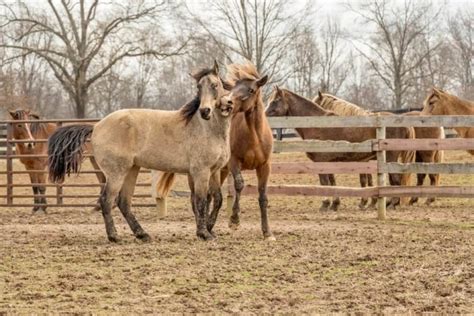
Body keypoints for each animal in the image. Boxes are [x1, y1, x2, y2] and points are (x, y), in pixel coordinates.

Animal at [48, 63, 233, 242]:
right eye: (198, 87)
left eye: (215, 85)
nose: (205, 111)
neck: (207, 129)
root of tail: (96, 126)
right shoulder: (200, 172)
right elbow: (201, 201)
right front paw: (204, 234)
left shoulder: (214, 172)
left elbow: (217, 199)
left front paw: (209, 229)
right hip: (116, 173)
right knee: (107, 201)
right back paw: (114, 236)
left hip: (131, 170)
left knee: (123, 202)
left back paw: (142, 234)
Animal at [266, 87, 414, 210]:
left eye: (275, 100)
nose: (264, 115)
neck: (316, 125)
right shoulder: (329, 162)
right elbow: (332, 182)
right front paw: (335, 204)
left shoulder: (321, 162)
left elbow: (324, 182)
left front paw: (325, 204)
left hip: (390, 158)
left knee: (395, 179)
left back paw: (392, 203)